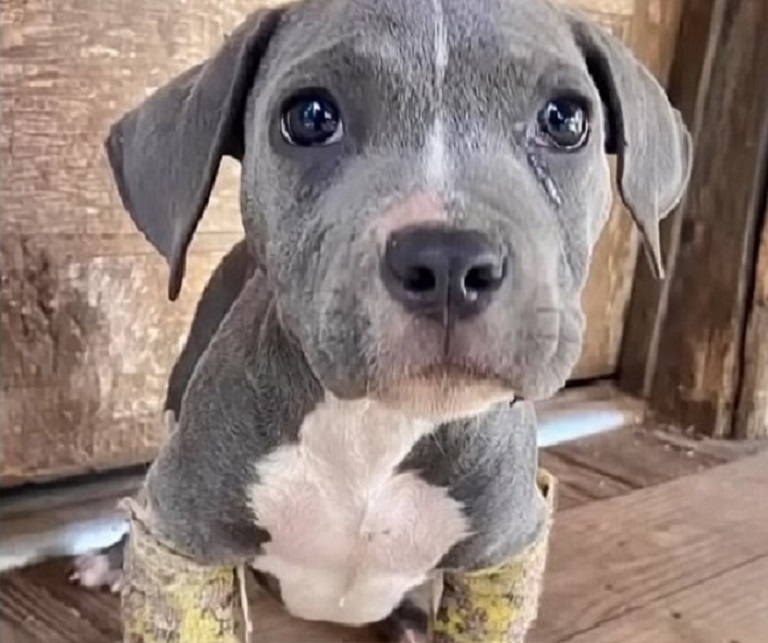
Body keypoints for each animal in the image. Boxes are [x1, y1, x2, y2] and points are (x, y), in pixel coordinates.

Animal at [72, 1, 688, 640]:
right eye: (311, 117)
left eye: (564, 120)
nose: (448, 259)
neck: (377, 423)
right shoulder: (187, 528)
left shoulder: (504, 554)